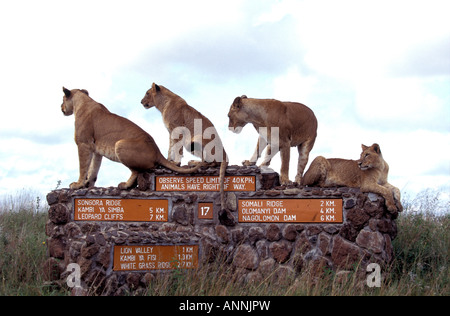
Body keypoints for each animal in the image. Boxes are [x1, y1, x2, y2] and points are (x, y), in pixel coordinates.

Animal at [61, 86, 204, 190]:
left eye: (62, 99)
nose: (60, 107)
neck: (82, 102)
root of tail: (157, 151)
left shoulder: (83, 144)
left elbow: (83, 166)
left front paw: (78, 184)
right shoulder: (95, 150)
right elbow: (93, 170)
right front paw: (88, 185)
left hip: (120, 144)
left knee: (136, 171)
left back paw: (125, 185)